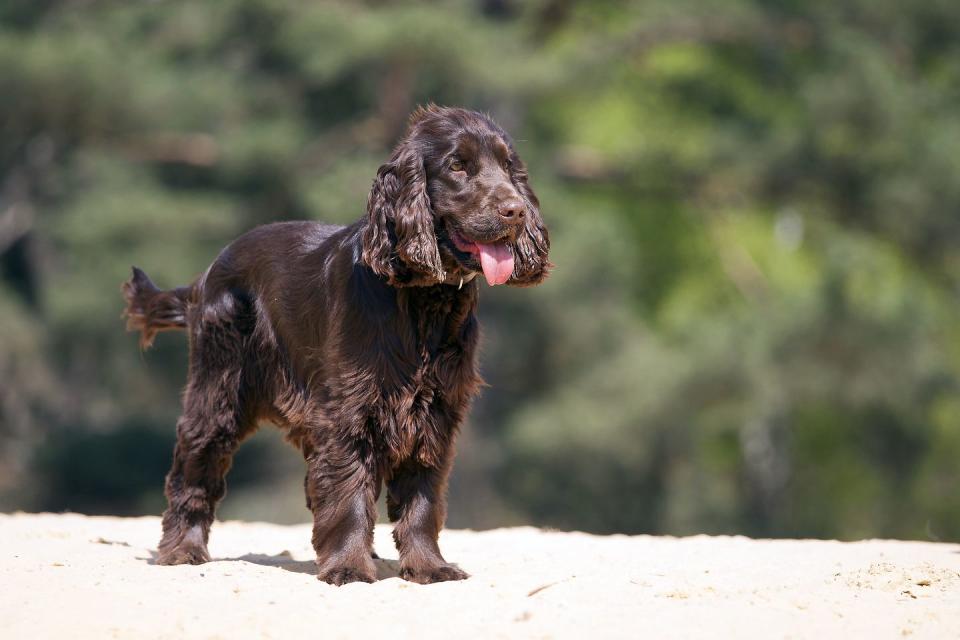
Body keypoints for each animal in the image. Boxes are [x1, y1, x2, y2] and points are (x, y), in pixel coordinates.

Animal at [124, 106, 552, 584]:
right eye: (457, 166)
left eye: (508, 166)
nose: (515, 211)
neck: (422, 299)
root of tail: (207, 273)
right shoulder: (349, 409)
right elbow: (348, 489)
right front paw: (348, 566)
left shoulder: (435, 412)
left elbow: (421, 498)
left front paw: (429, 566)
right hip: (219, 388)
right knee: (195, 466)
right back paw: (182, 549)